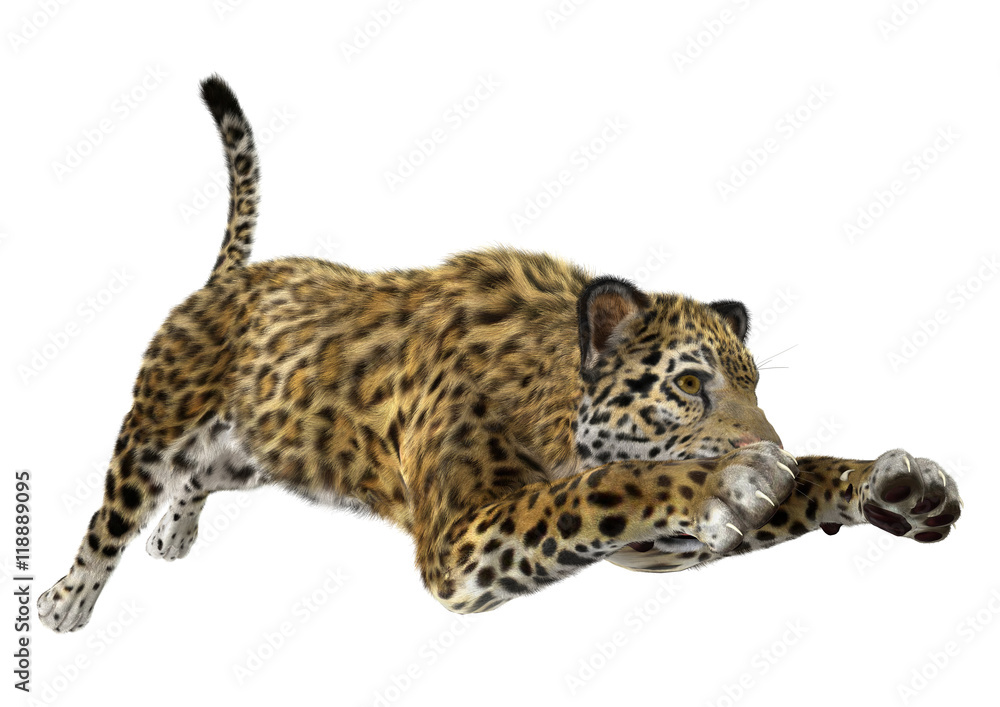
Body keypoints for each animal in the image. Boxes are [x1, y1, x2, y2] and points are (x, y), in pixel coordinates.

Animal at [38, 75, 963, 631]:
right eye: (690, 383)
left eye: (755, 385)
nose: (762, 444)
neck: (545, 395)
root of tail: (233, 277)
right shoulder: (462, 536)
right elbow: (603, 487)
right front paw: (728, 475)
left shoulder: (645, 548)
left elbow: (799, 477)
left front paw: (895, 485)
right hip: (155, 423)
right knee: (112, 510)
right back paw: (64, 601)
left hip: (254, 450)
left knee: (197, 478)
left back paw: (173, 534)